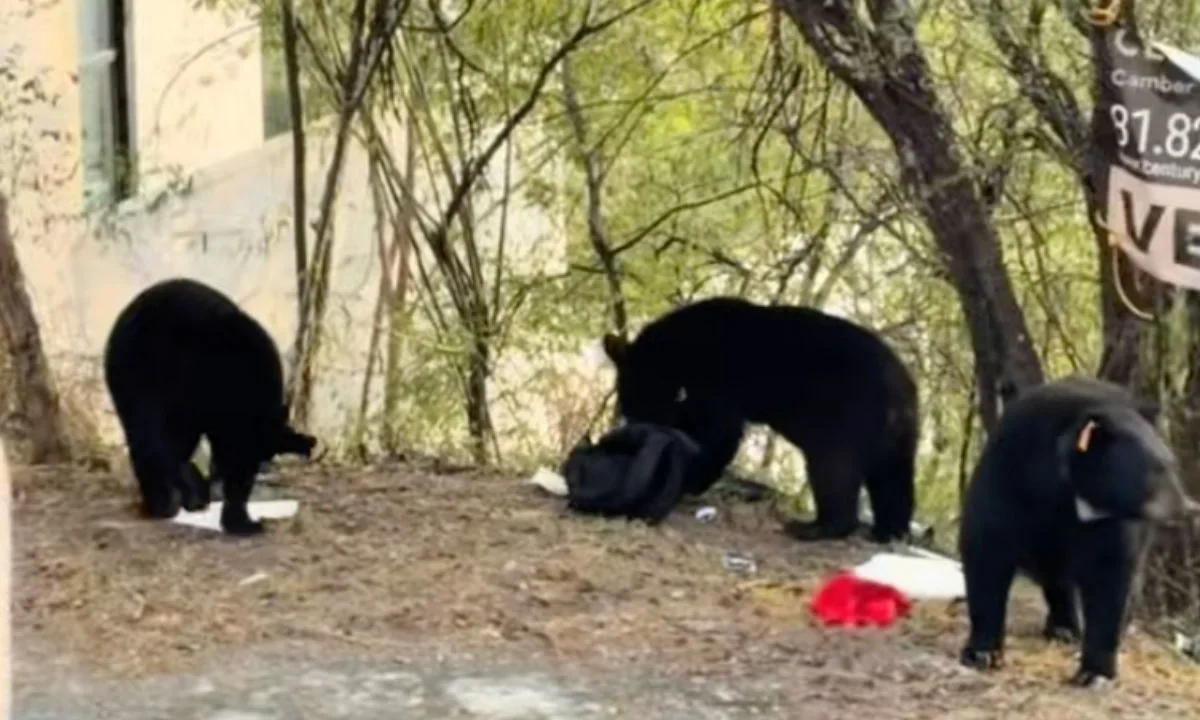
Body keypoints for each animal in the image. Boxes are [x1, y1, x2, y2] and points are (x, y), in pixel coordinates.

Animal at [602, 296, 919, 543]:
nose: (638, 426)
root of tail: (898, 385)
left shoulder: (715, 381)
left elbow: (719, 434)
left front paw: (691, 480)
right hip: (896, 437)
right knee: (892, 478)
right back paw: (890, 531)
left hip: (845, 416)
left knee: (834, 468)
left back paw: (815, 528)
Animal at [958, 375, 1200, 687]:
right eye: (1156, 469)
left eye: (1172, 465)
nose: (1189, 508)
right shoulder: (1009, 472)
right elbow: (987, 548)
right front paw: (982, 654)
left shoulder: (1111, 522)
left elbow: (1110, 574)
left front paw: (1094, 673)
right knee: (1055, 576)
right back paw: (1063, 627)